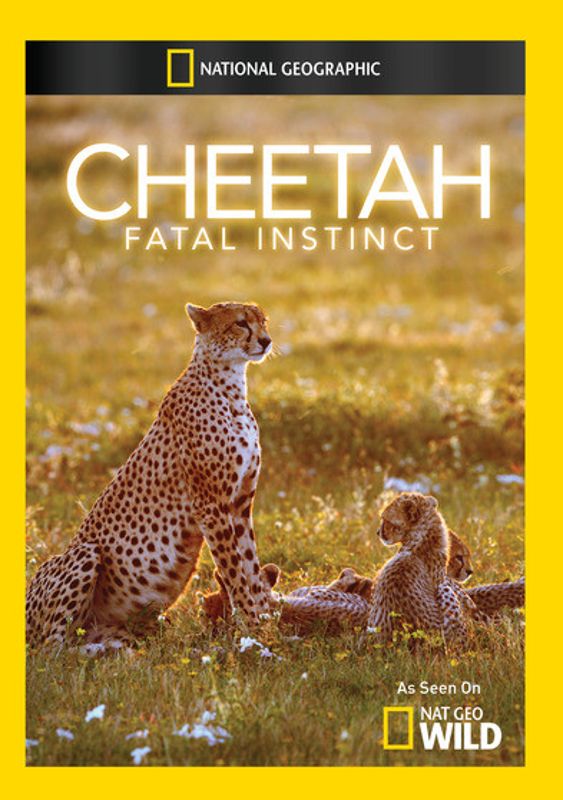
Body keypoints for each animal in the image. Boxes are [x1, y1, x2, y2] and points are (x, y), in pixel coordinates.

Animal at [26, 301, 277, 649]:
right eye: (240, 323)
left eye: (263, 321)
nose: (266, 341)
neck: (230, 387)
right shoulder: (211, 506)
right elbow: (235, 572)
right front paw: (254, 631)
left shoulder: (239, 504)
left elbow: (251, 567)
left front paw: (267, 625)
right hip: (84, 553)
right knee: (52, 650)